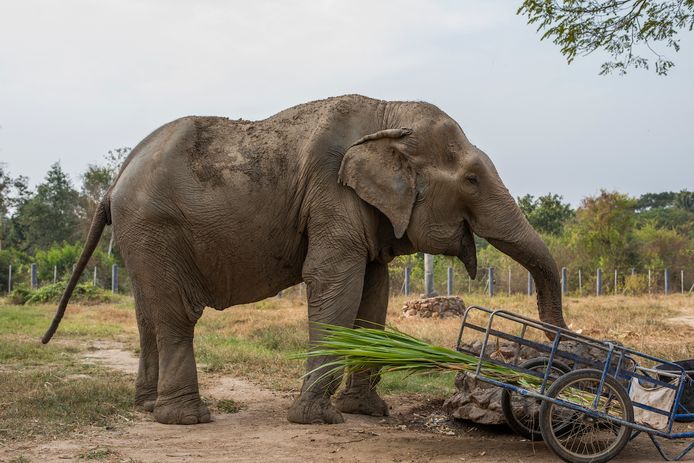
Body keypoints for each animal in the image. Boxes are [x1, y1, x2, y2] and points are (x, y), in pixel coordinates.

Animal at [42, 95, 564, 428]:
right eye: (472, 179)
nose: (546, 367)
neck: (386, 113)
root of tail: (115, 181)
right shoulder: (332, 194)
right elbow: (335, 283)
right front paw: (320, 419)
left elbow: (373, 294)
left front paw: (367, 412)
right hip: (154, 226)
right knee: (175, 314)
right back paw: (186, 419)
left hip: (139, 237)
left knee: (146, 313)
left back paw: (148, 409)